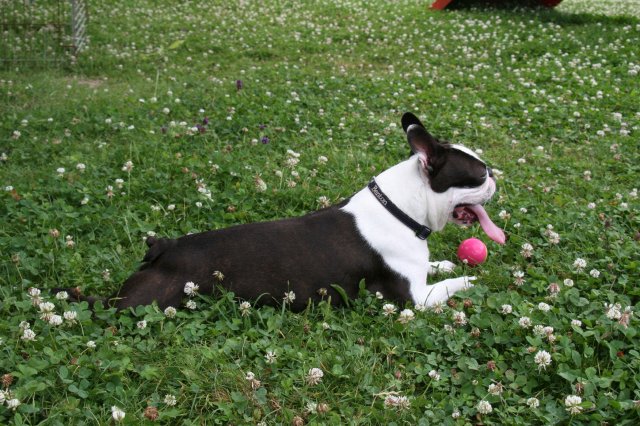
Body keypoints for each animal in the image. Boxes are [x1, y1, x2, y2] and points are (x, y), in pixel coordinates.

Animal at [63, 112, 506, 312]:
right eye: (479, 174)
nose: (497, 177)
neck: (399, 210)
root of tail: (164, 247)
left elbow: (436, 266)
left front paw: (446, 262)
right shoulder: (415, 299)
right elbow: (455, 283)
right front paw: (474, 279)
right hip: (141, 302)